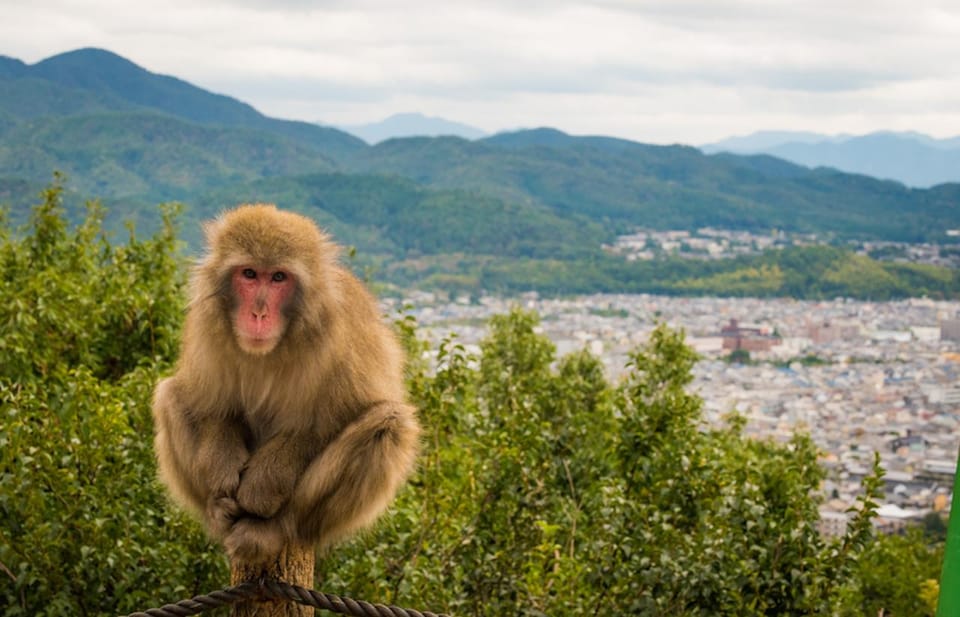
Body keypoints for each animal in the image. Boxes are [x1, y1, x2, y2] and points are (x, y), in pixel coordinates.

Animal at [153, 203, 420, 564]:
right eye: (249, 274)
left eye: (279, 277)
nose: (259, 313)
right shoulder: (206, 325)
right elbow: (210, 406)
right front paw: (222, 469)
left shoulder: (340, 336)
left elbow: (327, 424)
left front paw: (261, 488)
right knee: (168, 396)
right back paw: (218, 511)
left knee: (389, 422)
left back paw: (277, 527)